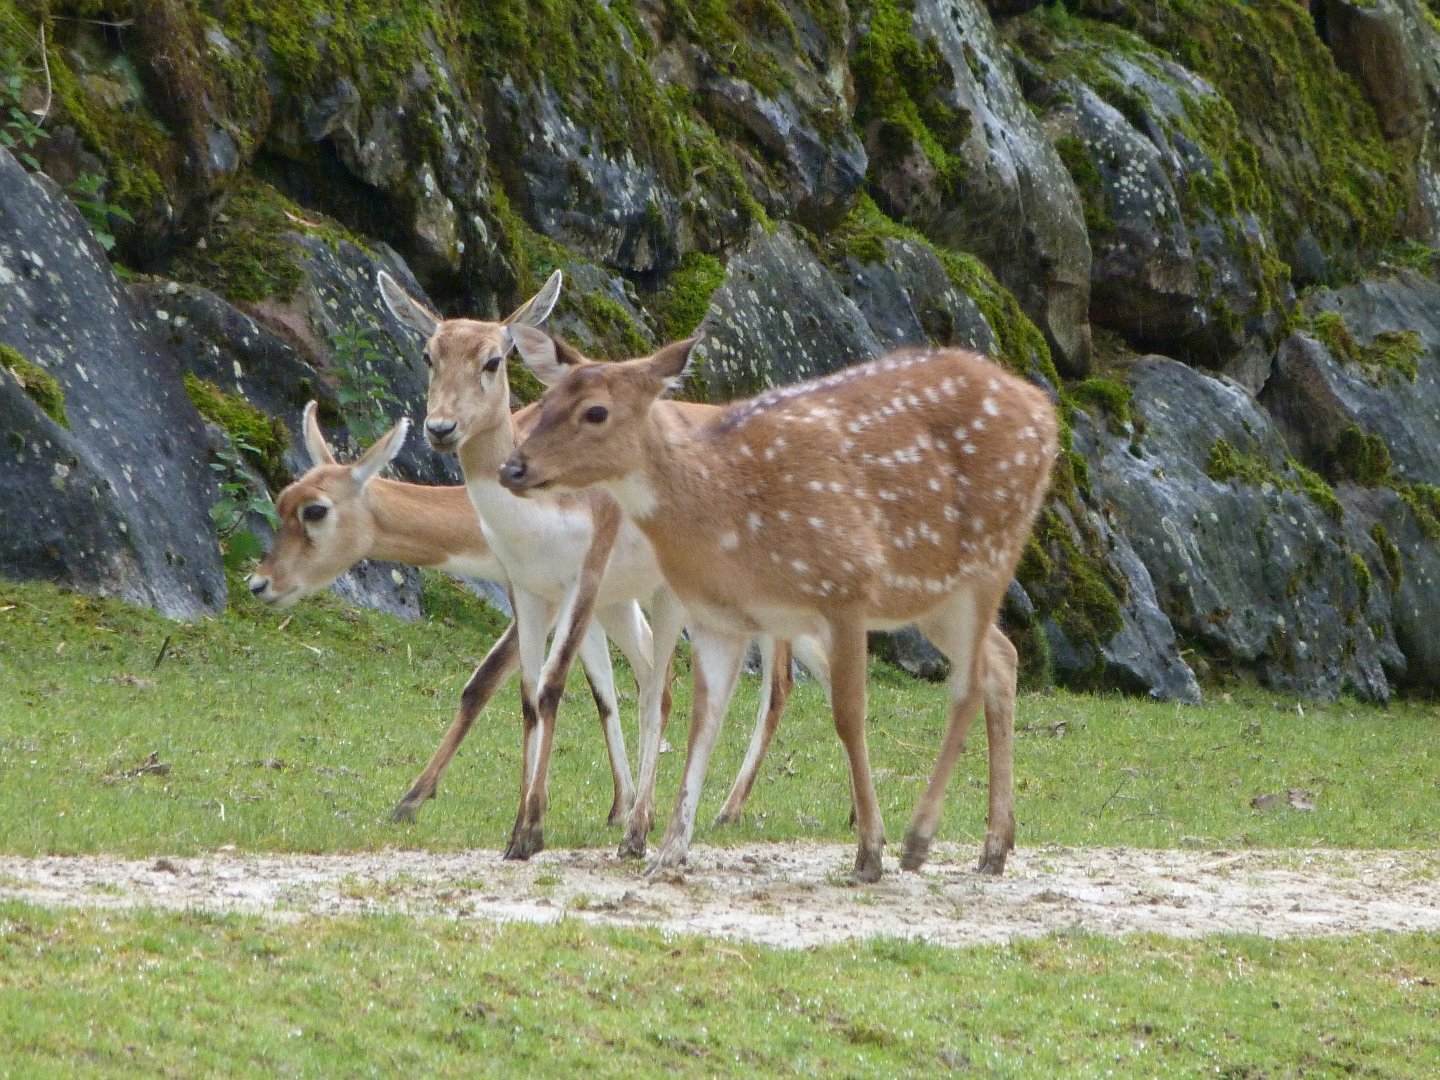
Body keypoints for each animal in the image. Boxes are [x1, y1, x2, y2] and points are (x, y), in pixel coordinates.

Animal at [501, 329, 1057, 882]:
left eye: (596, 411)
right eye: (547, 400)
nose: (512, 467)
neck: (728, 515)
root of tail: (1046, 413)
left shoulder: (845, 587)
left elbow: (848, 717)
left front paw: (869, 852)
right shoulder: (717, 618)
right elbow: (703, 725)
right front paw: (668, 852)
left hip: (992, 554)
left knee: (967, 683)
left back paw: (919, 840)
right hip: (936, 597)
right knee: (1001, 658)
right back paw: (995, 847)